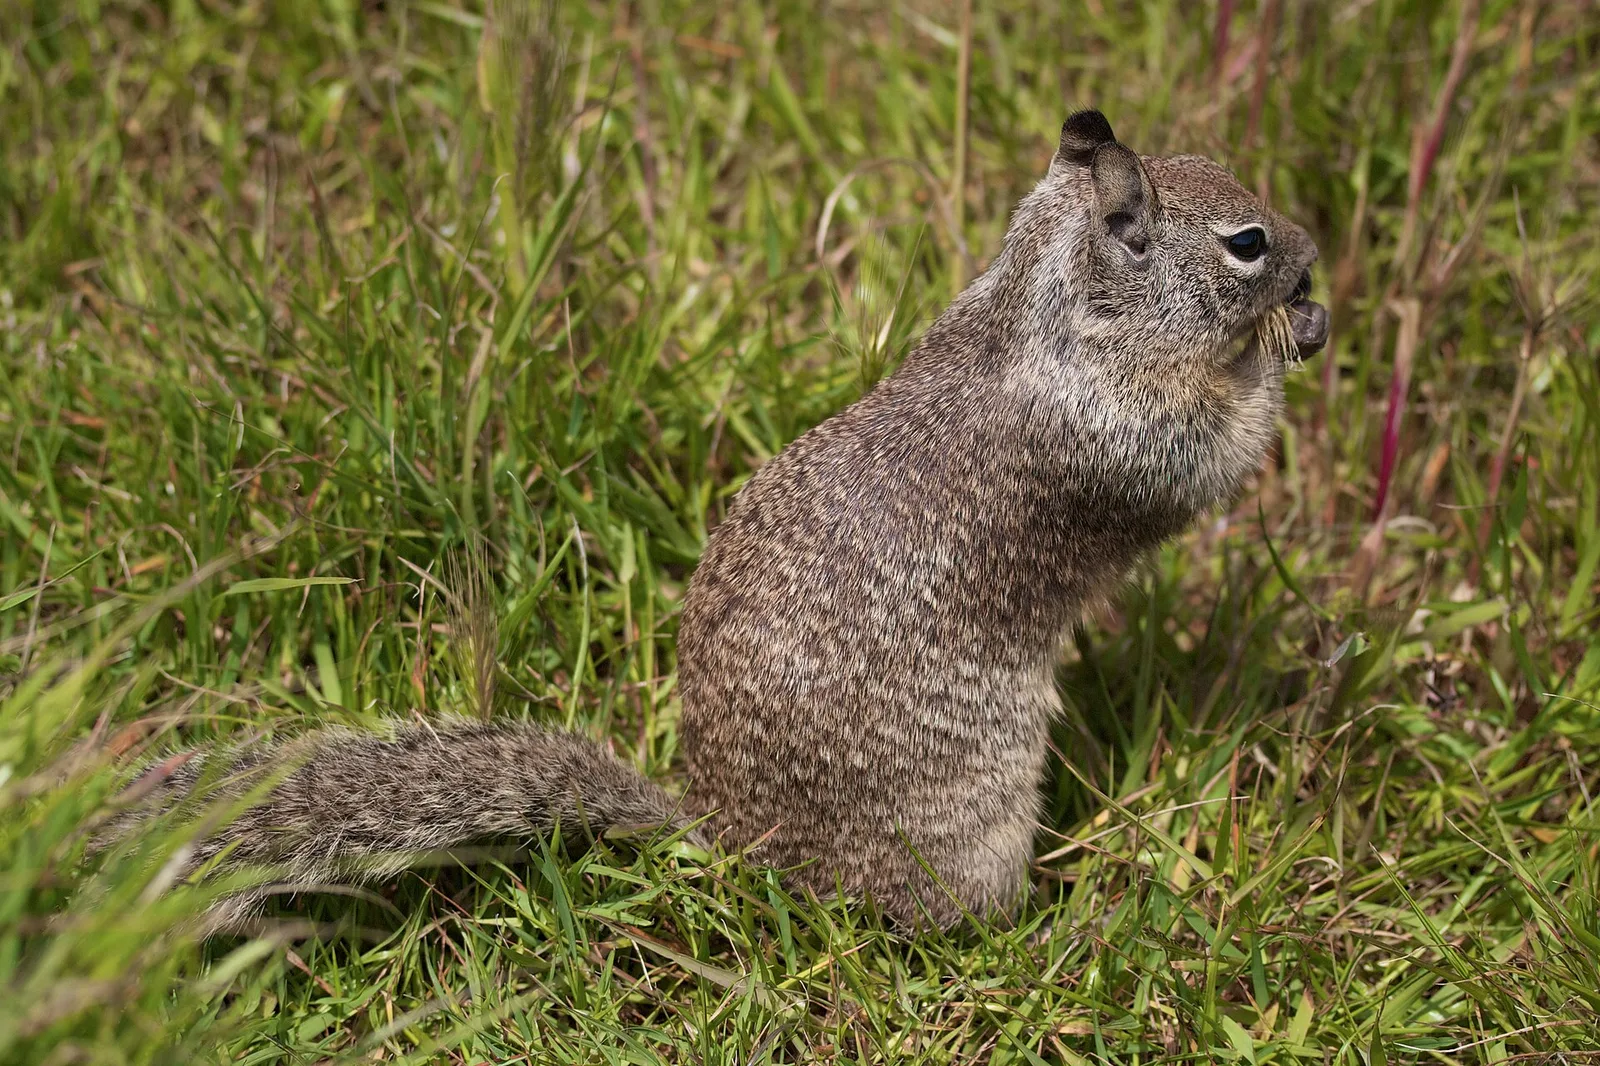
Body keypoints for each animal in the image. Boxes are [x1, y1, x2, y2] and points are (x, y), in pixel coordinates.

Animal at [102, 110, 1328, 931]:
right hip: (968, 828)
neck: (1045, 314)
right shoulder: (1126, 440)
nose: (1315, 252)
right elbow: (1220, 452)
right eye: (1247, 242)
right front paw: (1288, 349)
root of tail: (730, 840)